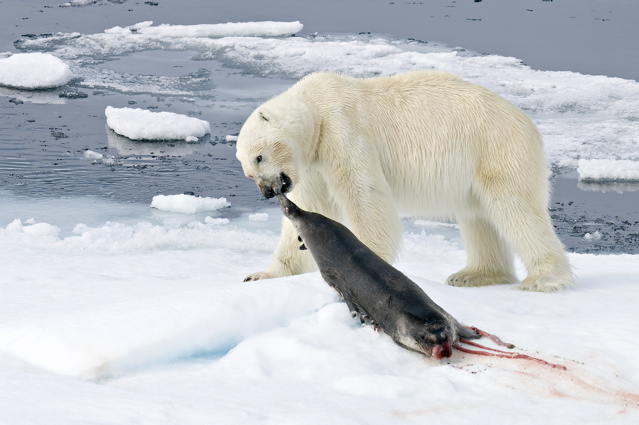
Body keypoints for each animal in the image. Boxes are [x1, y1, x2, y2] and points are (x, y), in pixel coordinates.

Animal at [236, 70, 576, 292]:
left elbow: (364, 194)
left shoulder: (342, 129)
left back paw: (543, 278)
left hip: (496, 149)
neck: (315, 108)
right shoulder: (311, 163)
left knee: (514, 208)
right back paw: (473, 275)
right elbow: (310, 208)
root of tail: (528, 122)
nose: (268, 192)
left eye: (259, 157)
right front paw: (261, 275)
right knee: (478, 216)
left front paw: (368, 262)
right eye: (248, 172)